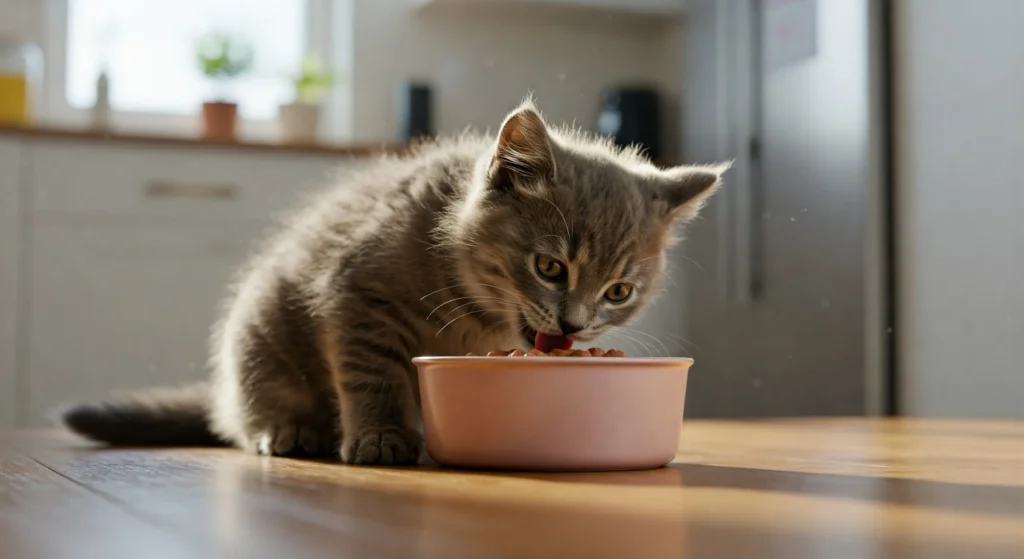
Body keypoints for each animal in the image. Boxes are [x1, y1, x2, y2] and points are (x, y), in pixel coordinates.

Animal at [61, 101, 729, 464]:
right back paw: (288, 429)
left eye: (618, 293)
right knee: (252, 408)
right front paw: (381, 436)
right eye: (550, 268)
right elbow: (371, 372)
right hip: (259, 330)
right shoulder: (357, 295)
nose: (573, 324)